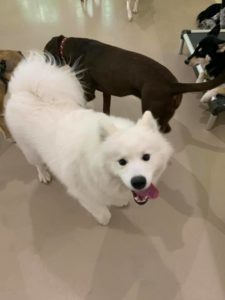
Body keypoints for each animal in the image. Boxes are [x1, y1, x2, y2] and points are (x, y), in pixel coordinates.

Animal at [5, 52, 174, 224]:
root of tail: (25, 90)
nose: (139, 182)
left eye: (146, 157)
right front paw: (103, 219)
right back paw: (44, 174)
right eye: (121, 162)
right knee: (37, 163)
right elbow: (102, 211)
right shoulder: (84, 194)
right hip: (29, 149)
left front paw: (119, 202)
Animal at [44, 35, 225, 132]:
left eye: (46, 54)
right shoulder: (106, 93)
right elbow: (106, 109)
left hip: (151, 110)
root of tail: (174, 85)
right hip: (164, 116)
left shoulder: (89, 92)